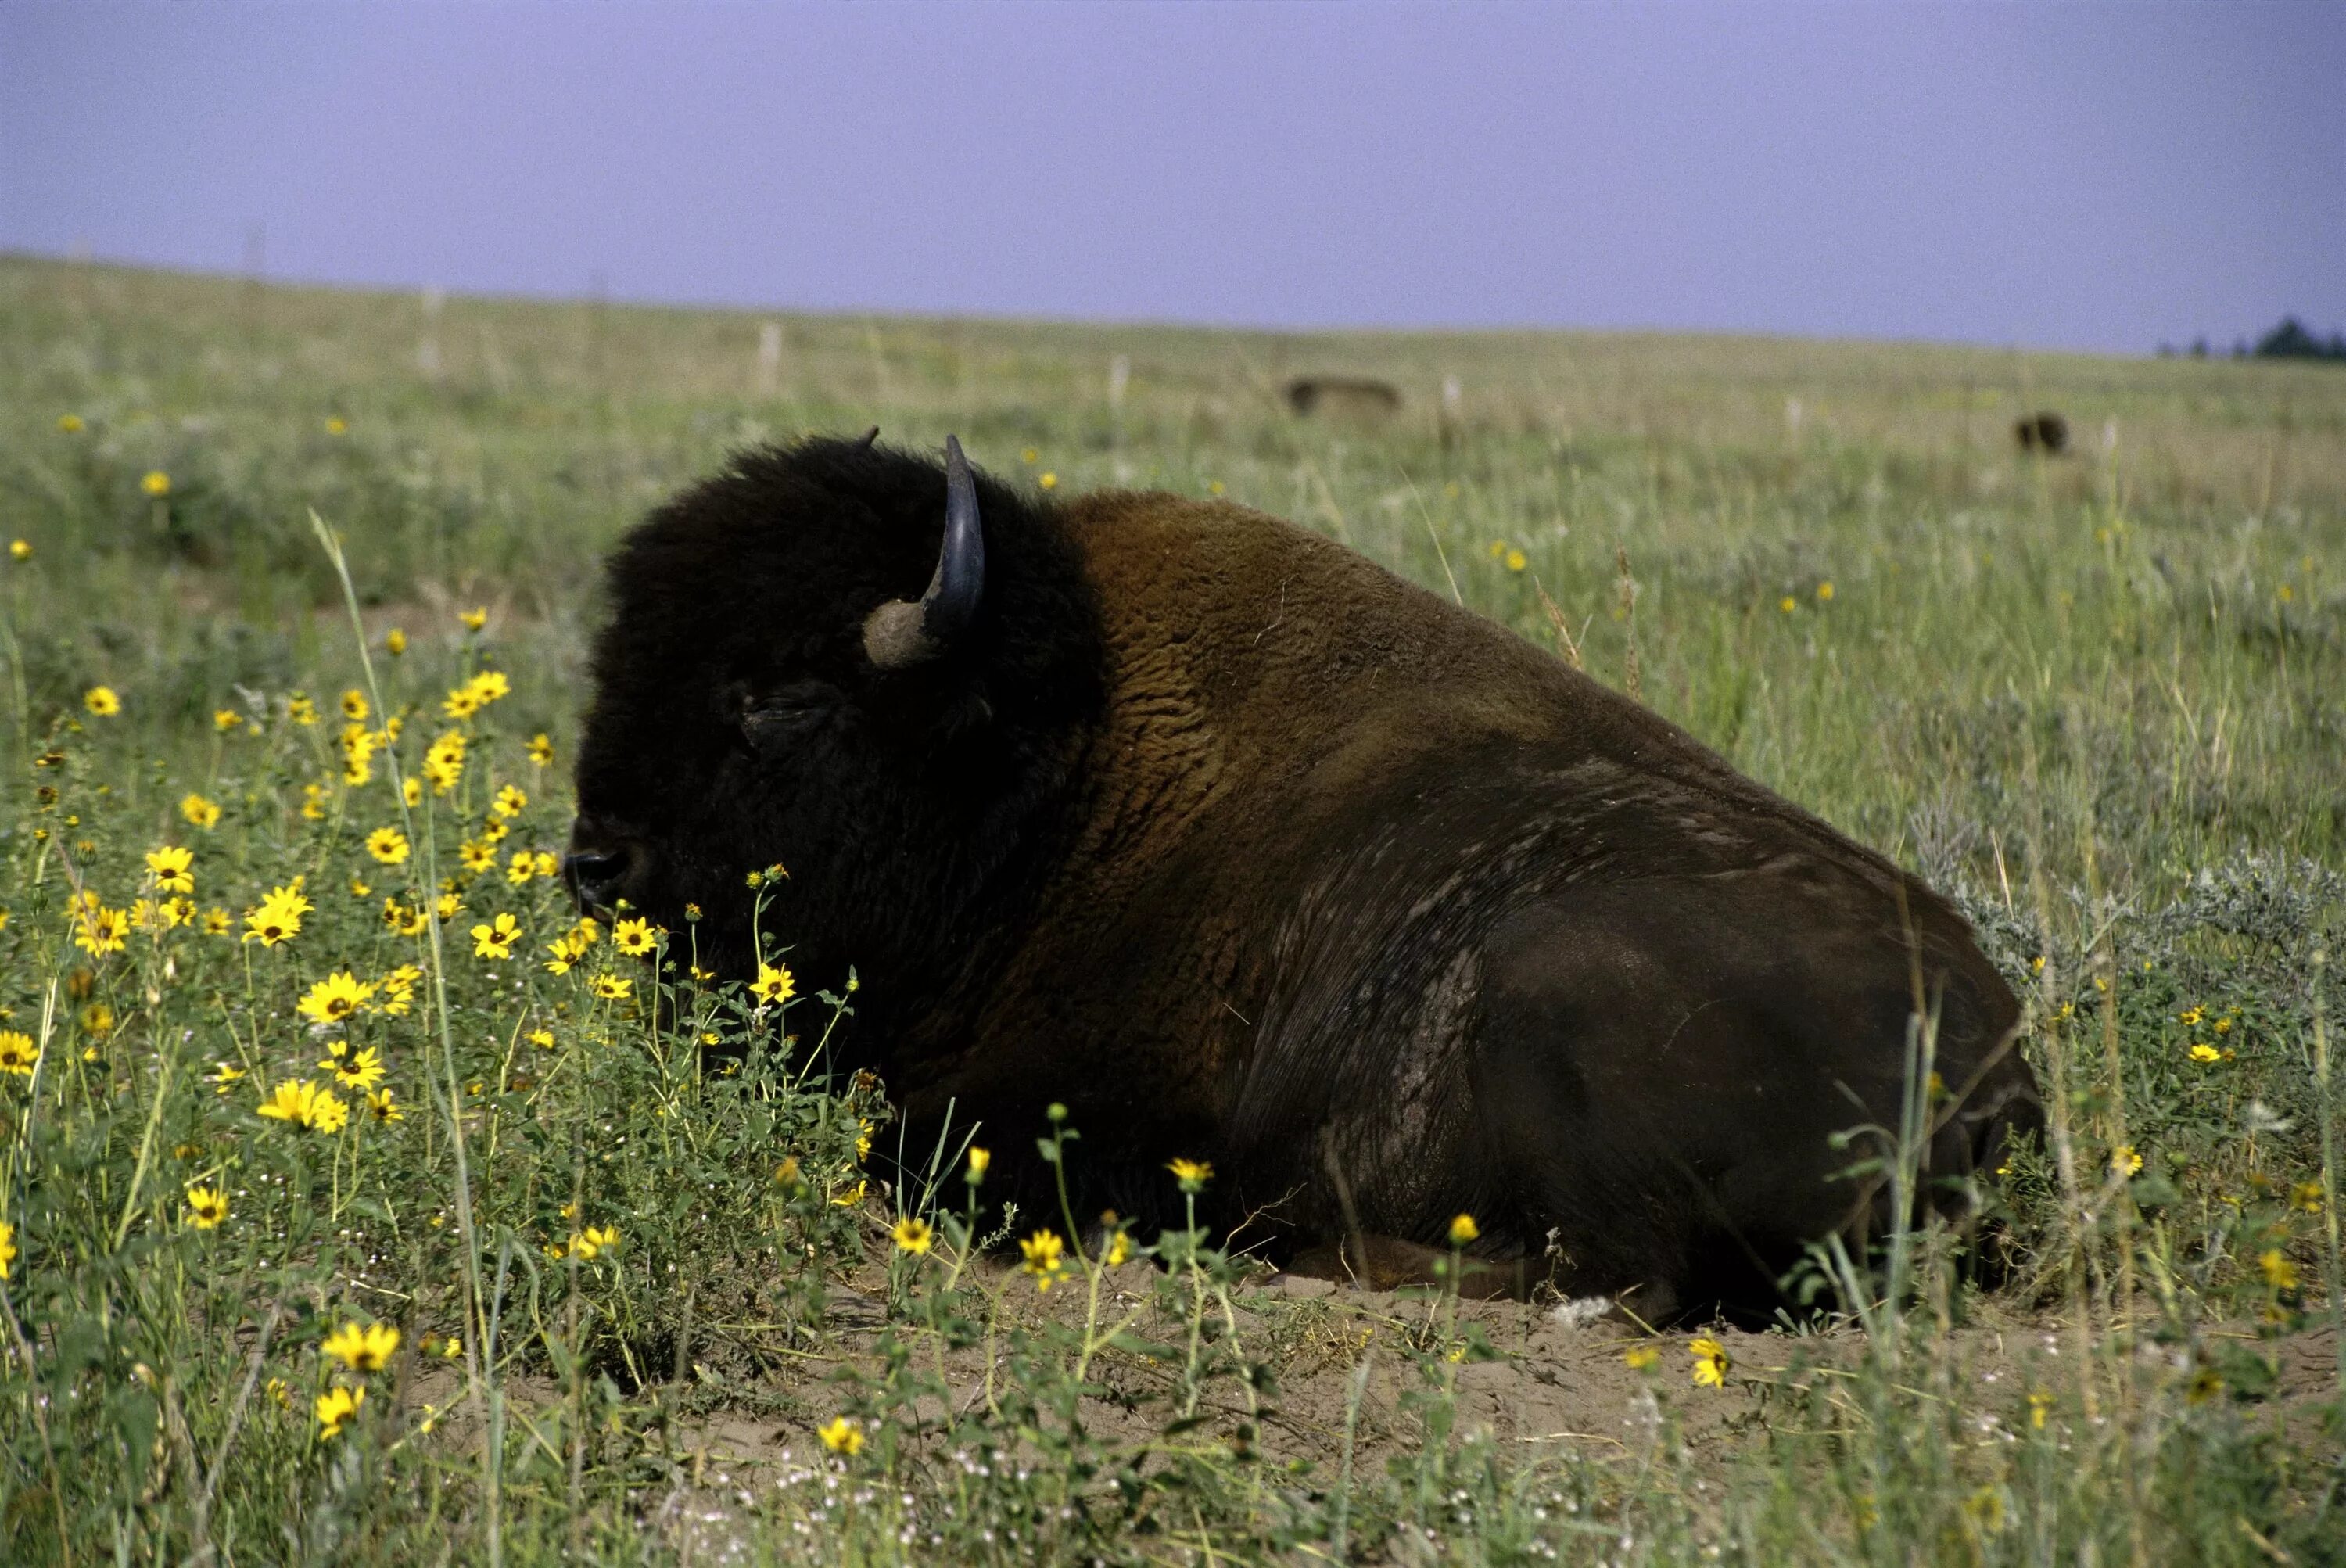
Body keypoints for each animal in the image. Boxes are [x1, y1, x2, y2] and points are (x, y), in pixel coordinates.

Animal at [563, 432, 2036, 1323]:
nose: (593, 861)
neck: (1062, 772)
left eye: (780, 694)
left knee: (1606, 1281)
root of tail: (1995, 1071)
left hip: (1555, 981)